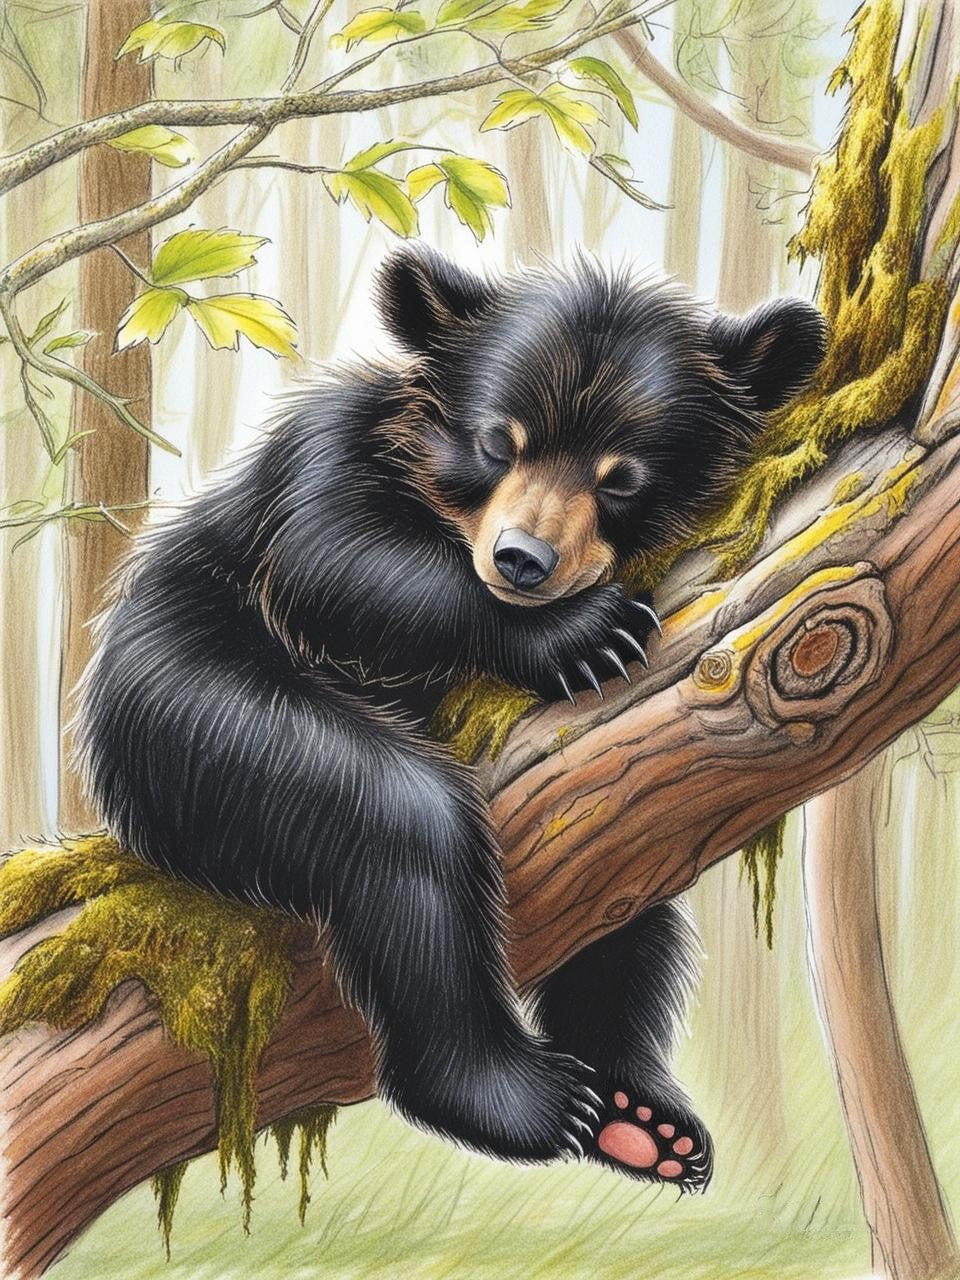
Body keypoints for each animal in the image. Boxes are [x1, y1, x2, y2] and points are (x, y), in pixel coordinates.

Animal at [76, 246, 825, 1191]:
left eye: (623, 477)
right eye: (498, 441)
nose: (523, 560)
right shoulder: (324, 451)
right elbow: (333, 556)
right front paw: (578, 634)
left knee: (628, 891)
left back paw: (639, 1120)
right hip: (193, 703)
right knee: (402, 826)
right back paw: (522, 1098)